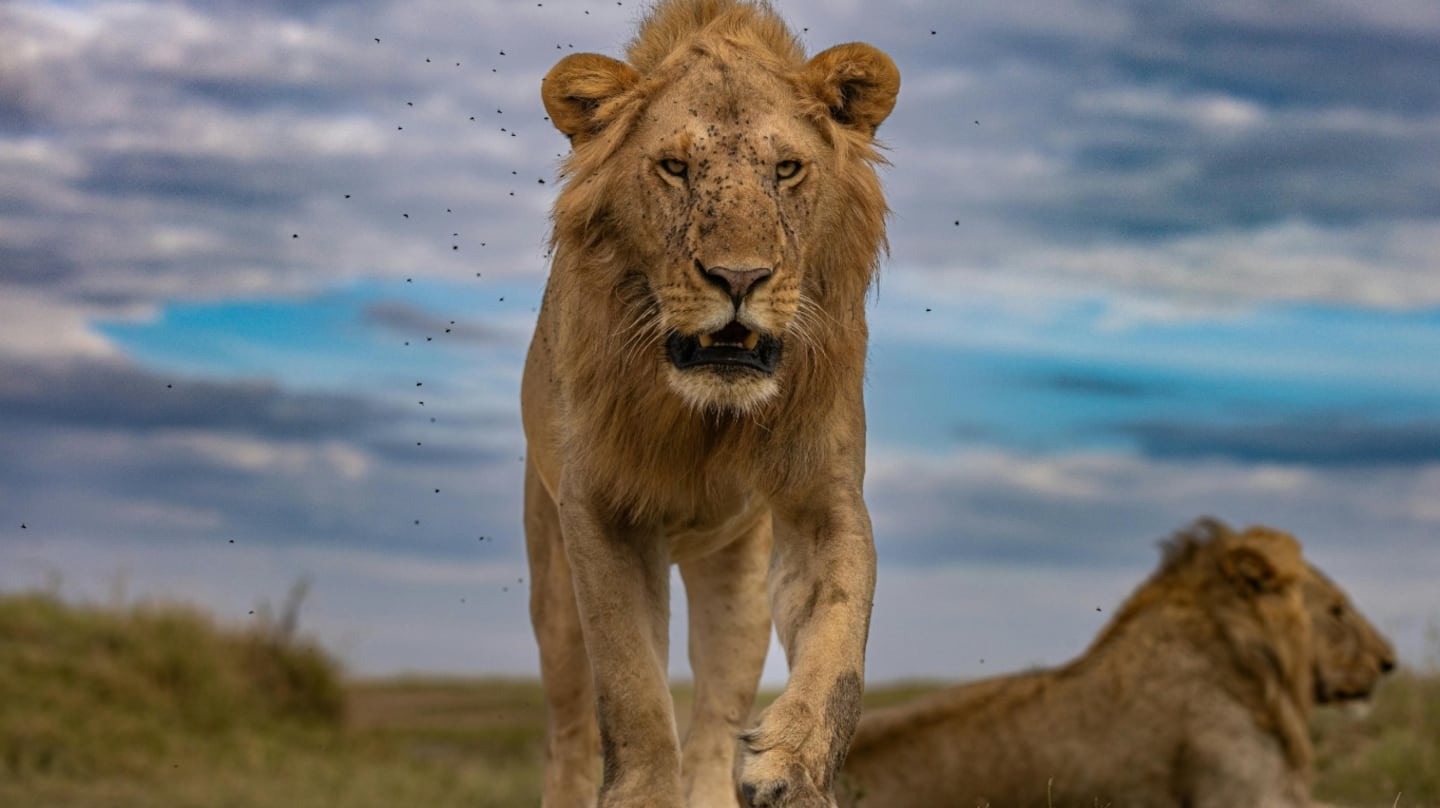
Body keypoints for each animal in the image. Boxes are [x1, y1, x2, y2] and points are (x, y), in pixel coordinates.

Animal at [518, 3, 898, 800]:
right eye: (675, 167)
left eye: (786, 169)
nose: (740, 278)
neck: (705, 419)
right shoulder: (599, 510)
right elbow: (631, 687)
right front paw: (639, 797)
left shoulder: (823, 498)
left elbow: (842, 638)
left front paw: (793, 765)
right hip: (552, 576)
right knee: (569, 729)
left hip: (736, 580)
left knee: (716, 718)